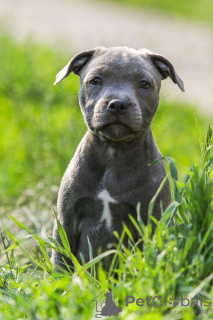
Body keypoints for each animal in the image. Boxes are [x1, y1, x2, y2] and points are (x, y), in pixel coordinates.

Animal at [52, 46, 185, 268]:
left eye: (144, 84)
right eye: (95, 80)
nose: (118, 104)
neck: (113, 153)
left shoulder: (151, 222)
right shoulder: (66, 222)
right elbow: (60, 262)